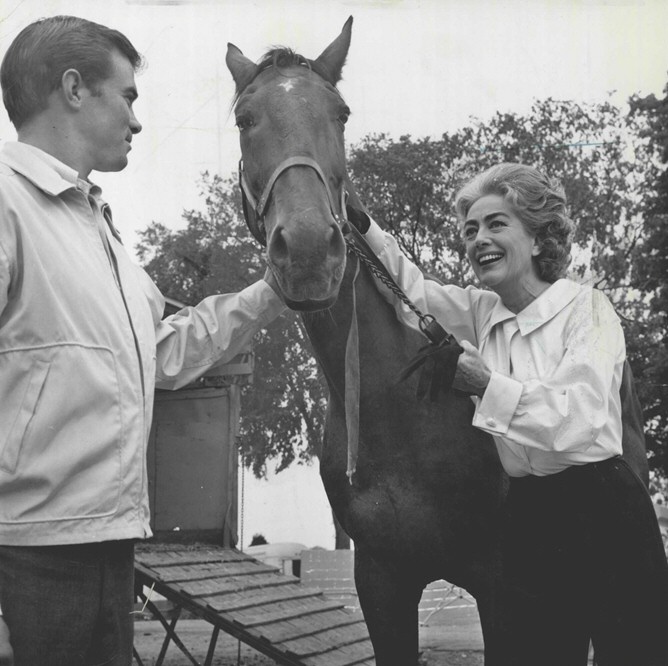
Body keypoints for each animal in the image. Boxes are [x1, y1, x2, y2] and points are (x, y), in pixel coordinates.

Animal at [224, 16, 648, 664]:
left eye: (341, 113)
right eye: (245, 119)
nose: (308, 252)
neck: (398, 412)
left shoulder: (503, 588)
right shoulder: (381, 581)